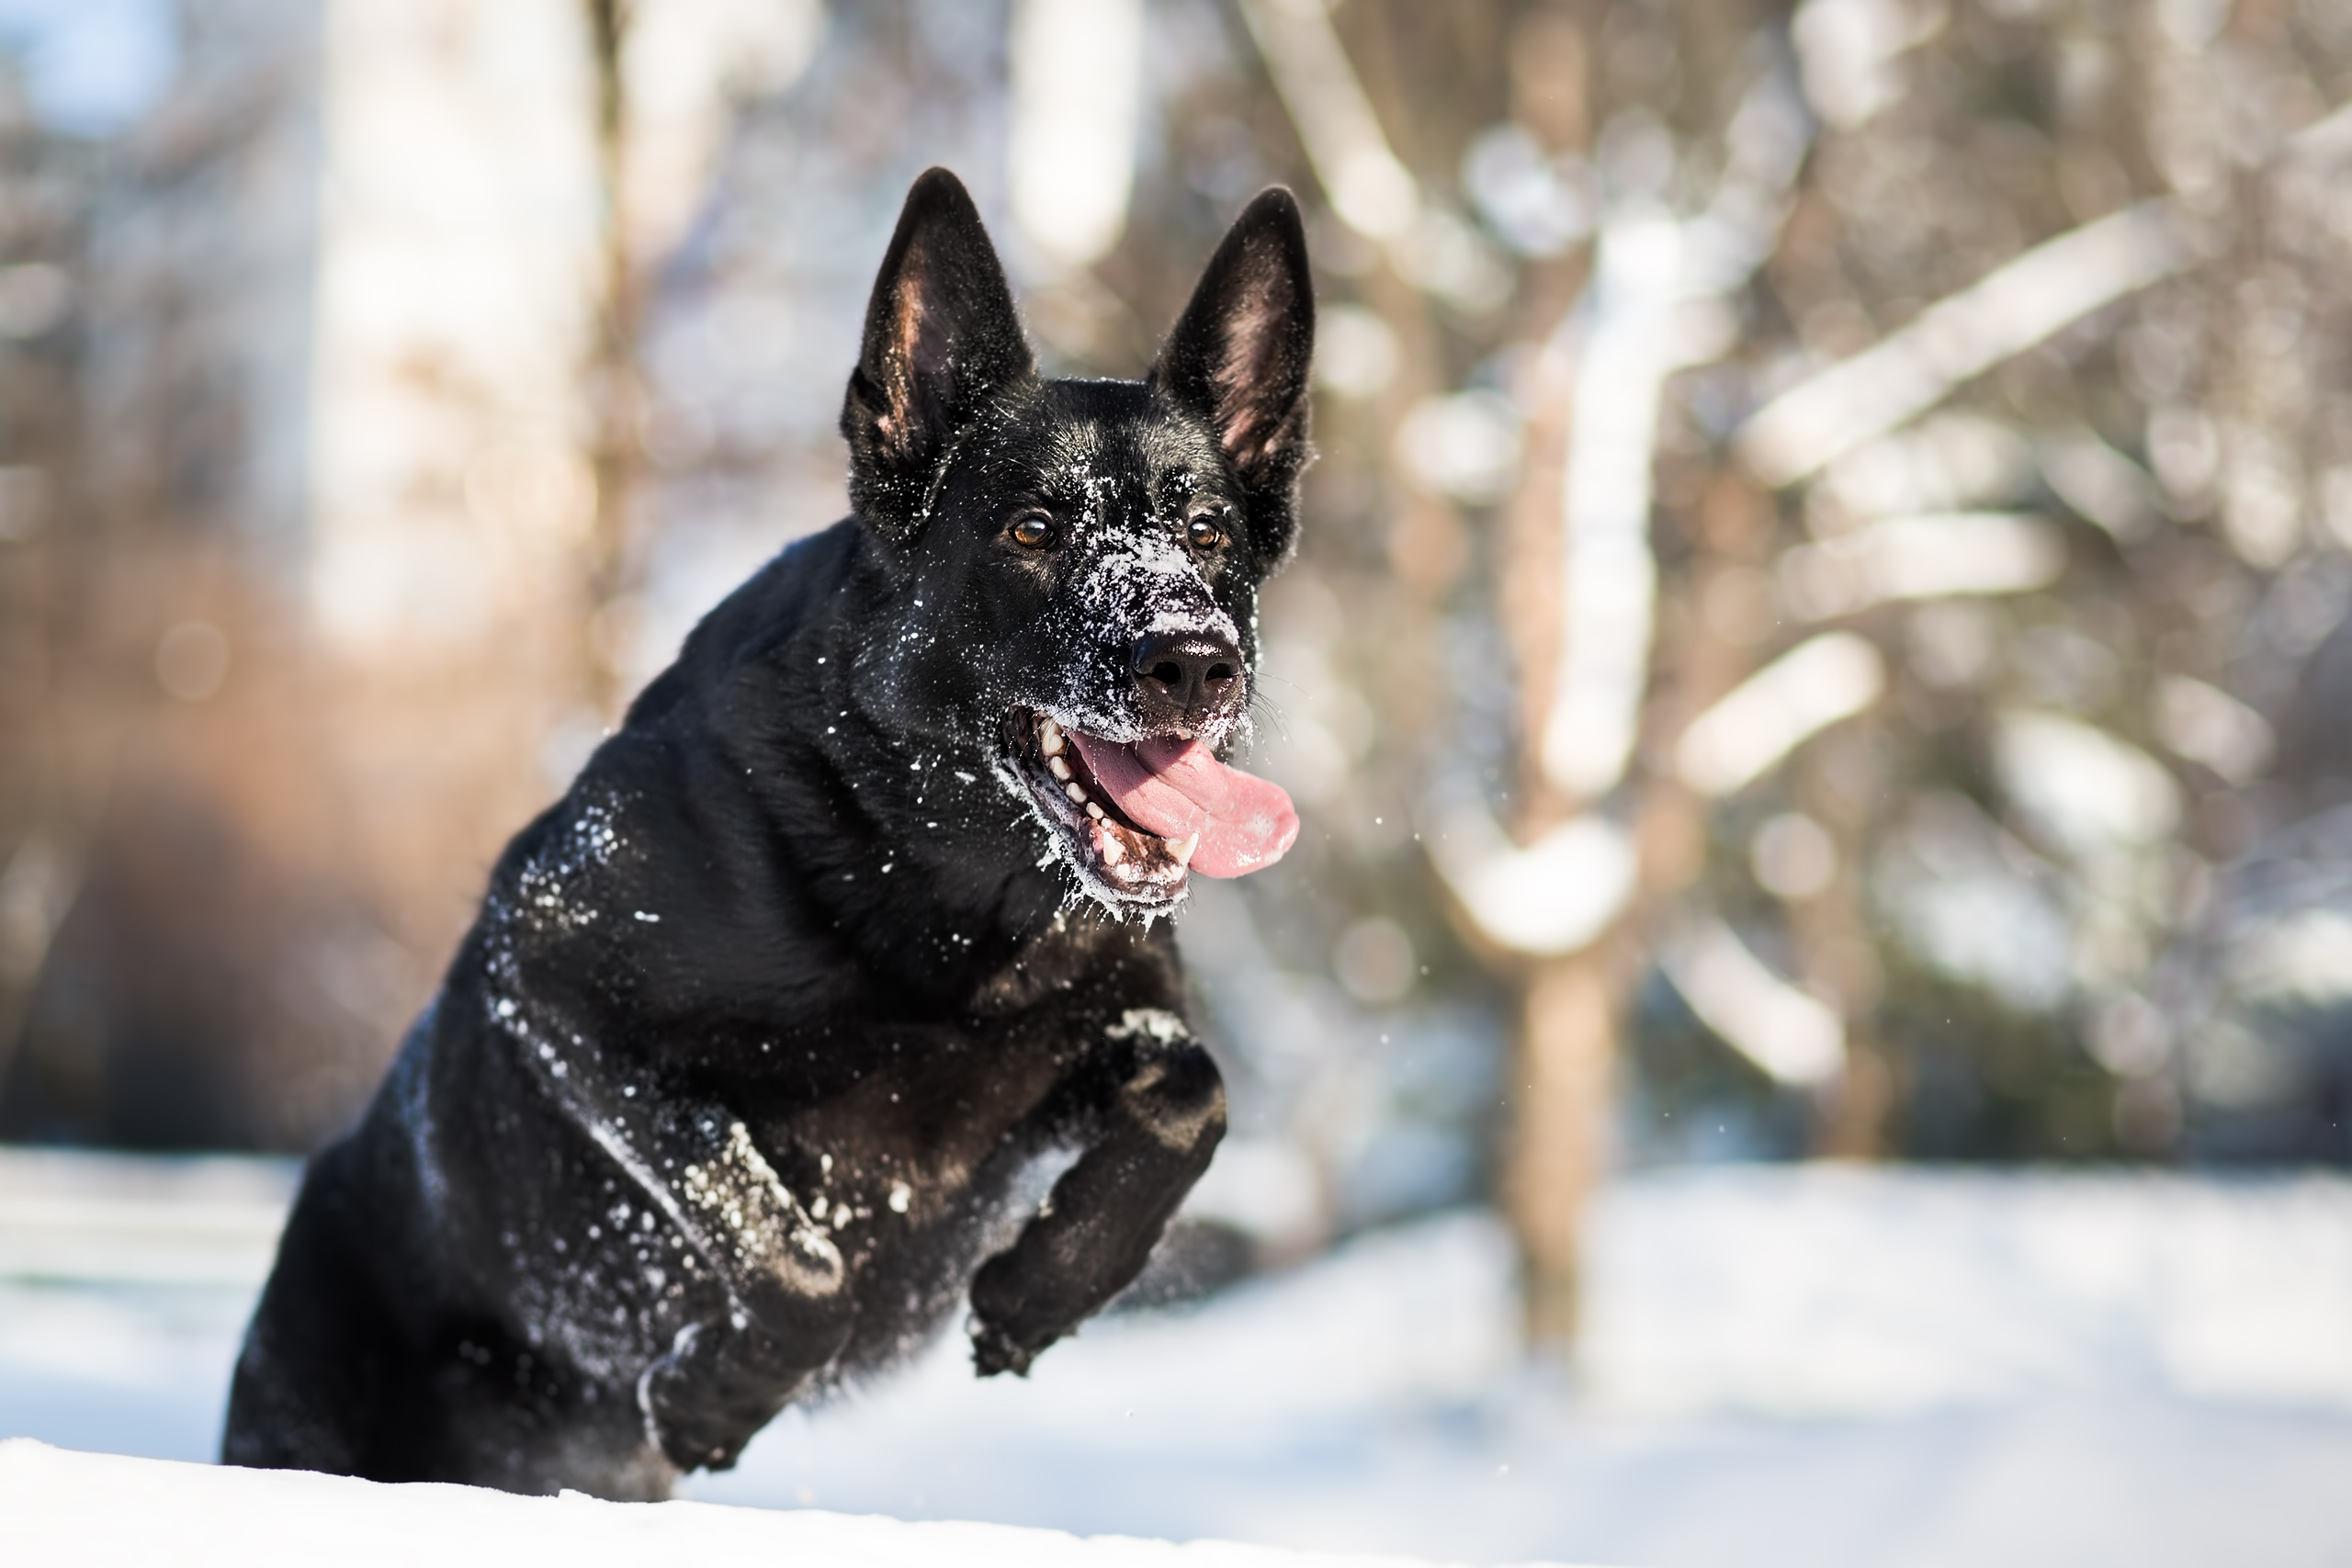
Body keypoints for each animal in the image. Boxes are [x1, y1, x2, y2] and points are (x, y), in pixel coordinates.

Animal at [221, 169, 1317, 1495]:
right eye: (1032, 531)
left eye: (1206, 535)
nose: (1194, 661)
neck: (943, 886)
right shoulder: (554, 977)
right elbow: (788, 1247)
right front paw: (716, 1393)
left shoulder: (1094, 1037)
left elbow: (1193, 1092)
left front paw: (1039, 1291)